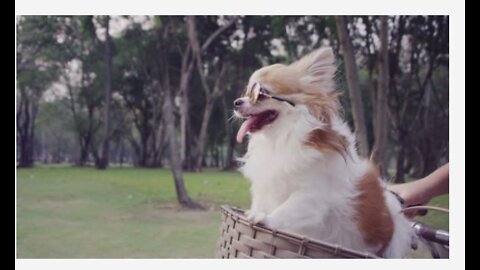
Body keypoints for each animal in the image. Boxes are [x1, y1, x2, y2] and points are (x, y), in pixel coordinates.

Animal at [234, 48, 410, 258]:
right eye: (246, 92)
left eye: (261, 94)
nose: (236, 102)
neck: (280, 139)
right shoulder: (265, 189)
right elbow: (260, 203)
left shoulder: (312, 198)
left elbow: (285, 210)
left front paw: (264, 218)